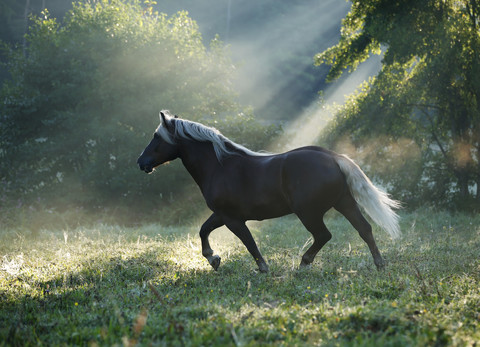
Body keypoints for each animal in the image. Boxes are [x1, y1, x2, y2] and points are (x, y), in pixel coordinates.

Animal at [137, 111, 400, 274]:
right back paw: (380, 265)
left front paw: (261, 268)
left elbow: (249, 242)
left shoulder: (233, 219)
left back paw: (303, 264)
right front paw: (214, 259)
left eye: (157, 137)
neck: (220, 166)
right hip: (344, 202)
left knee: (324, 235)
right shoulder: (222, 215)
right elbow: (203, 230)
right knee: (364, 229)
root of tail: (334, 157)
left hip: (308, 212)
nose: (141, 162)